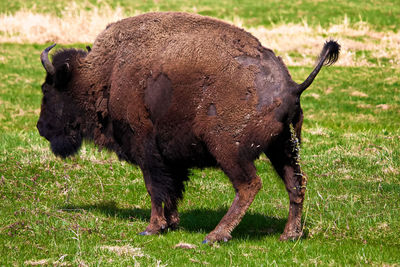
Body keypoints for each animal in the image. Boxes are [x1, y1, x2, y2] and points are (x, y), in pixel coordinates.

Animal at [36, 11, 340, 244]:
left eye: (48, 90)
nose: (40, 128)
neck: (106, 73)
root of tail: (292, 86)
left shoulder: (147, 149)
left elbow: (155, 188)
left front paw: (152, 228)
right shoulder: (170, 159)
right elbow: (172, 189)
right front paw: (171, 223)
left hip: (228, 150)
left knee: (249, 185)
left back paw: (215, 236)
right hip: (283, 147)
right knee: (296, 184)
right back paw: (289, 235)